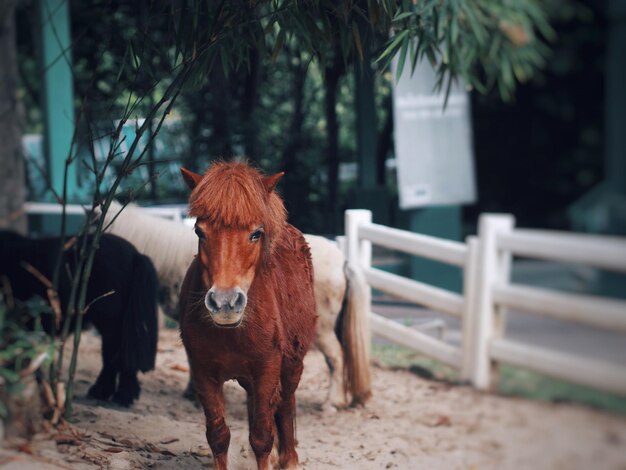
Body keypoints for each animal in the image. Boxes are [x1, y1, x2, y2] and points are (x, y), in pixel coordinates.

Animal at [179, 162, 316, 470]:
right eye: (199, 231)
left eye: (256, 233)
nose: (225, 302)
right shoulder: (203, 372)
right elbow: (218, 436)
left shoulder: (267, 370)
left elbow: (262, 437)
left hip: (292, 365)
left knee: (286, 403)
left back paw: (289, 459)